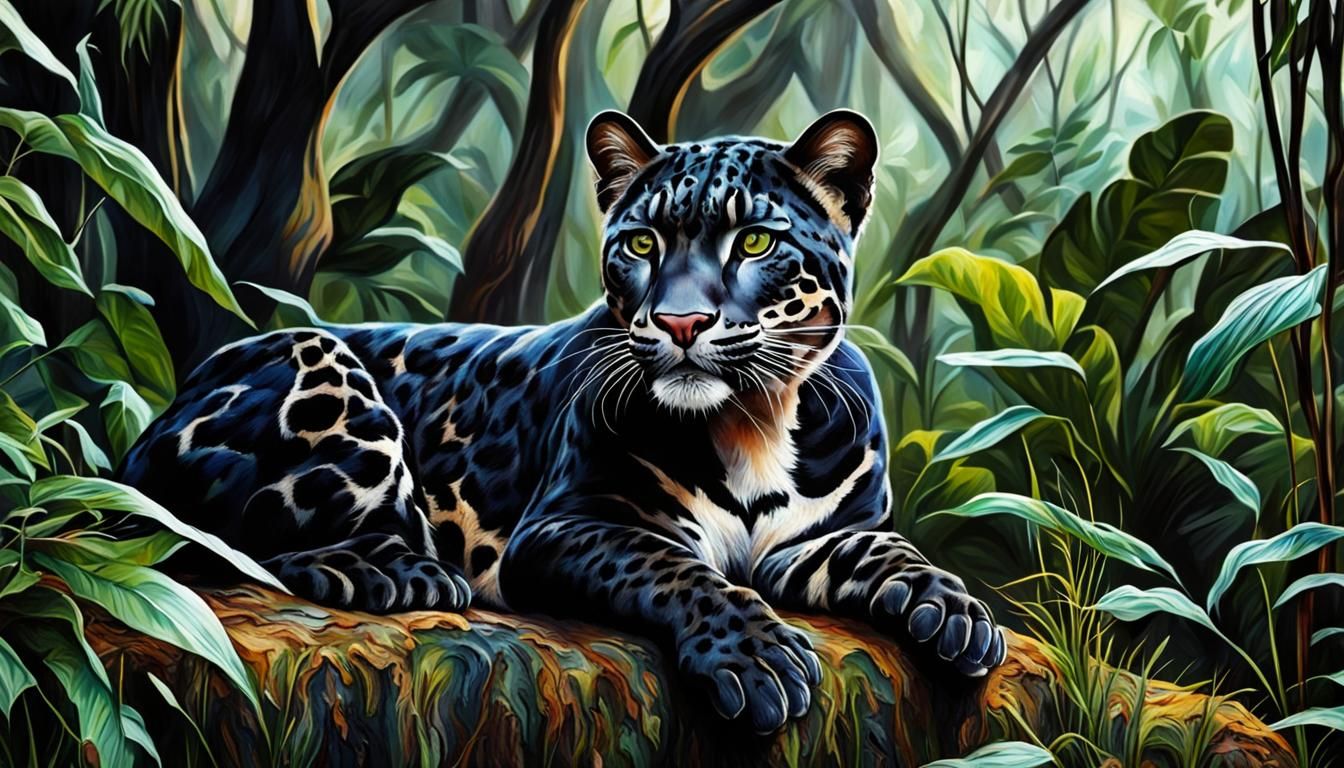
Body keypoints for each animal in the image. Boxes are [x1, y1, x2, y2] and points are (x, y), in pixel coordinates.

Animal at [116, 109, 1005, 733]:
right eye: (641, 243)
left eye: (755, 241)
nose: (681, 322)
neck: (755, 419)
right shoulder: (568, 526)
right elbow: (675, 569)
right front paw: (756, 658)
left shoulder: (816, 539)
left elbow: (884, 548)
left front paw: (955, 612)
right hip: (317, 363)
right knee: (229, 545)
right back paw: (395, 572)